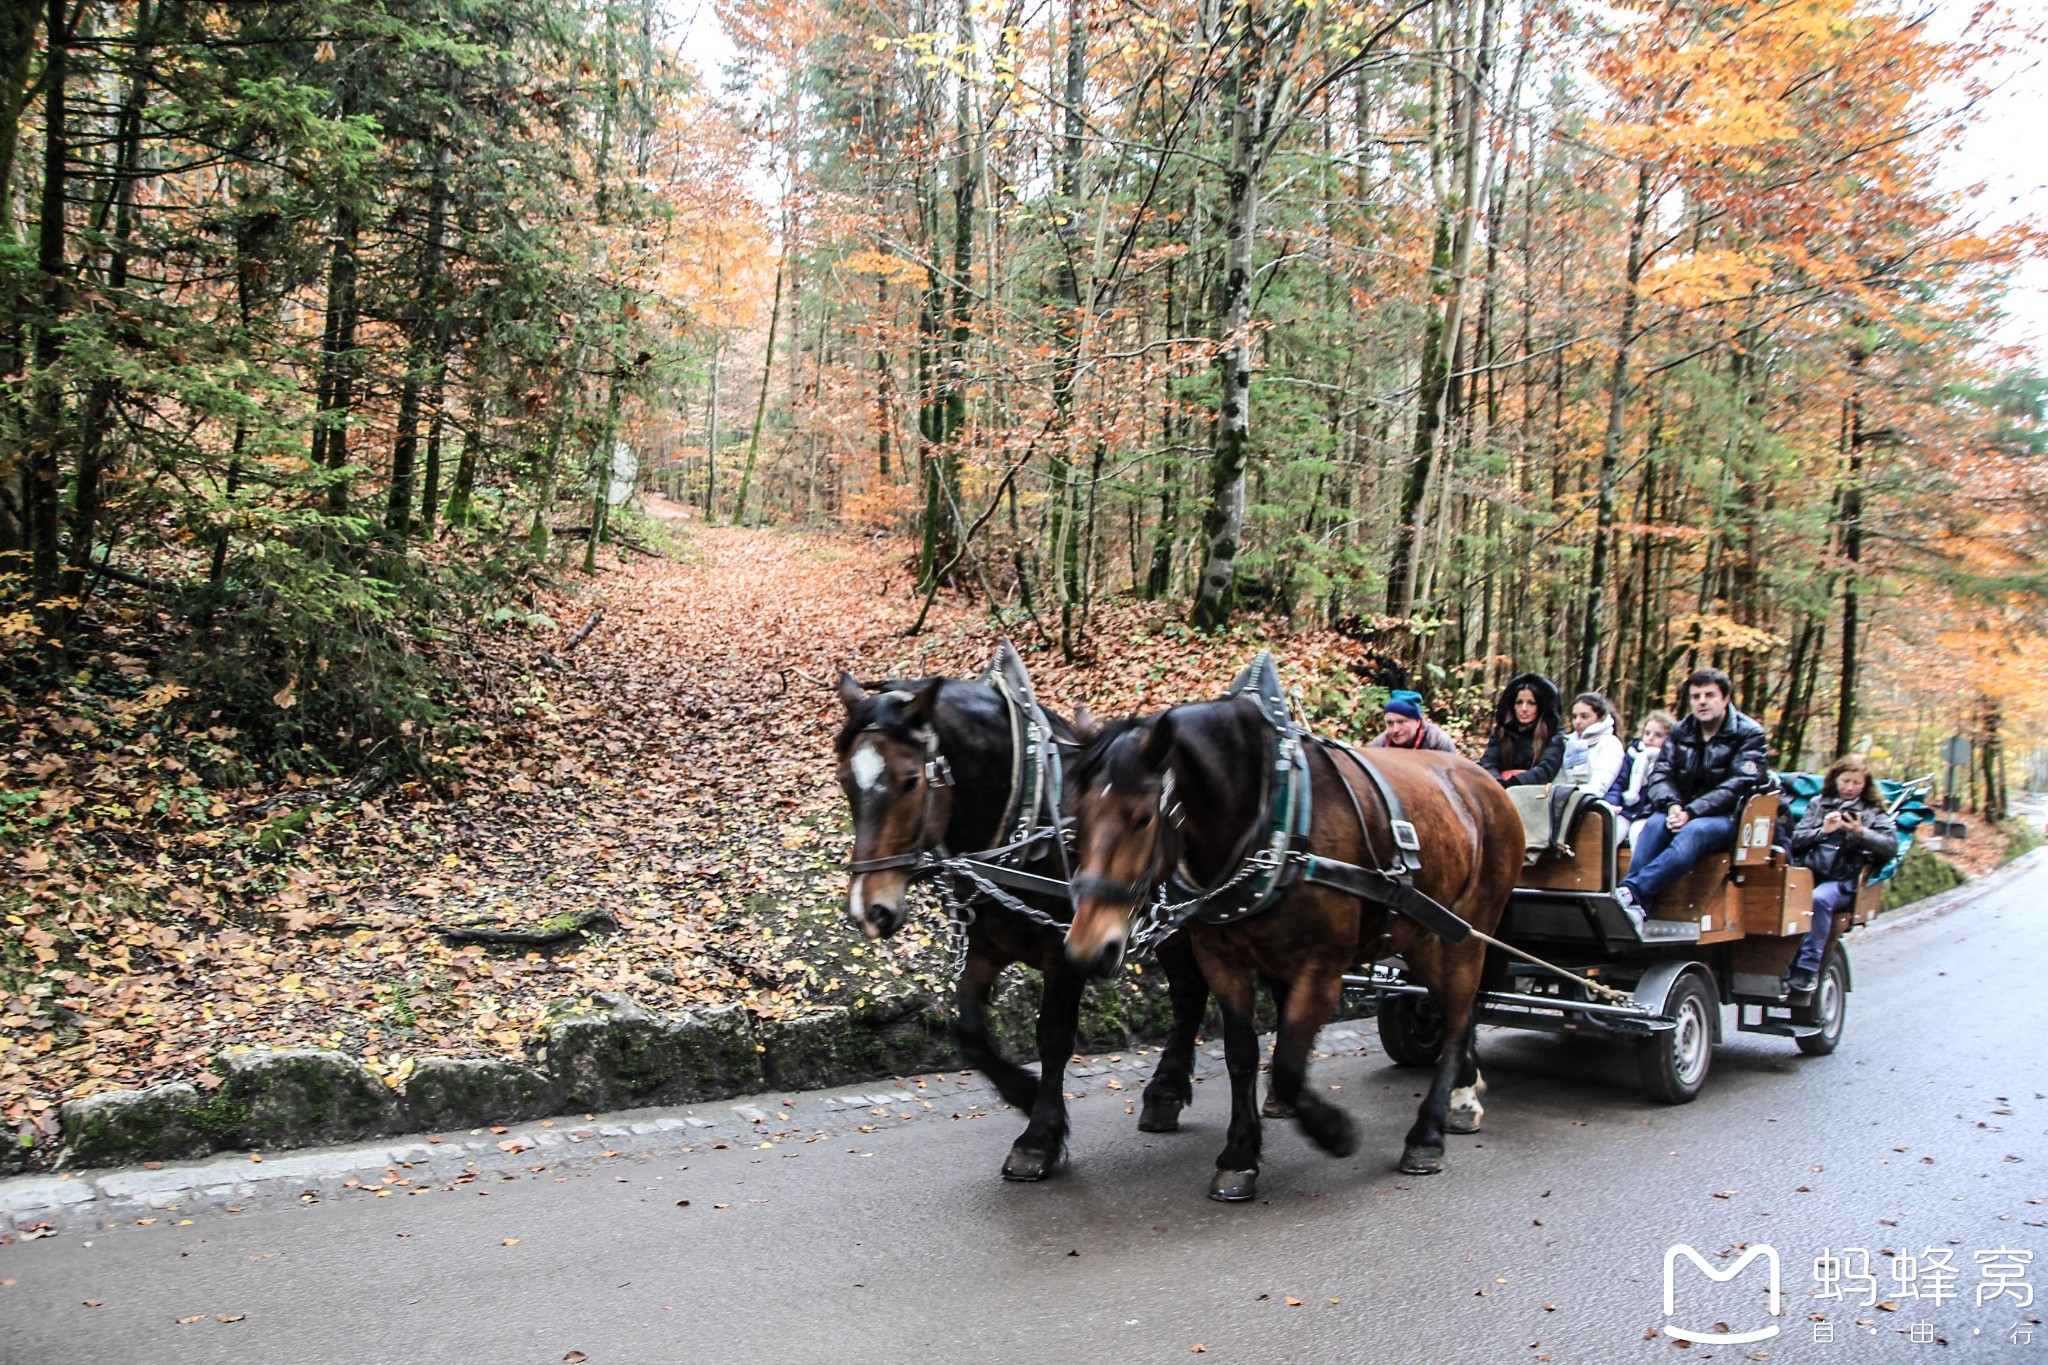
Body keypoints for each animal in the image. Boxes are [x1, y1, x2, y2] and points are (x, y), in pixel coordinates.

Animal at [831, 667, 1212, 1178]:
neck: (1027, 817)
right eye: (845, 780)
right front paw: (1026, 1096)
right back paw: (1166, 1093)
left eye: (910, 781)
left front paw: (1039, 1137)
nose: (868, 910)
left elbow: (1053, 1036)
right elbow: (970, 1033)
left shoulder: (1068, 949)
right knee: (1189, 991)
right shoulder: (982, 946)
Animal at [1073, 699, 1523, 1203]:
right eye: (1078, 817)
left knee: (1460, 1017)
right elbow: (1242, 1054)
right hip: (1424, 936)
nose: (1088, 948)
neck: (1271, 827)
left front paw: (1333, 1130)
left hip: (1467, 935)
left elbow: (1288, 1063)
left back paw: (1427, 1134)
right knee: (1450, 1011)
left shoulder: (1321, 968)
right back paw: (1463, 1093)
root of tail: (1485, 784)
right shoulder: (1221, 959)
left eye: (1142, 818)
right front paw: (1239, 1154)